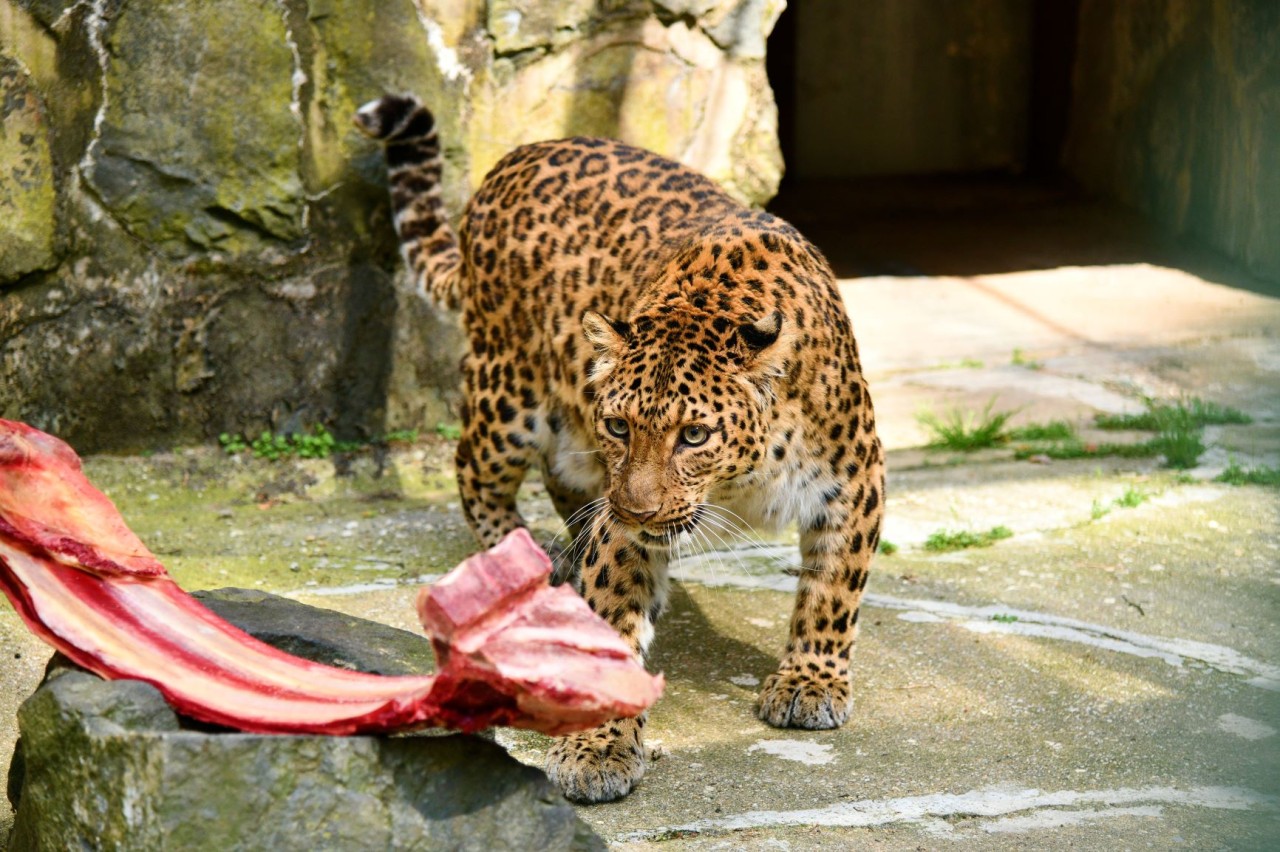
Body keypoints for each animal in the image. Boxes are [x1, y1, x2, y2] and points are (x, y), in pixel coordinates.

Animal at [355, 94, 885, 803]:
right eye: (620, 426)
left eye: (694, 435)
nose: (639, 509)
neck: (740, 480)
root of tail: (512, 160)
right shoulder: (620, 520)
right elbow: (616, 614)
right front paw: (599, 747)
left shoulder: (854, 481)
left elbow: (832, 590)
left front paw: (809, 681)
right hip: (508, 396)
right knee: (472, 470)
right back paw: (527, 562)